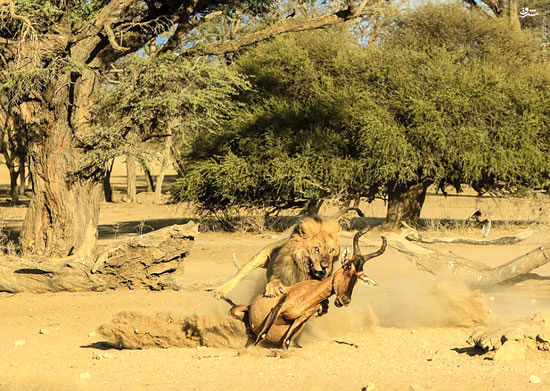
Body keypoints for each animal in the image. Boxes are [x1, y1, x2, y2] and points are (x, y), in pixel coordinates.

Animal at [229, 228, 388, 350]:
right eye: (348, 266)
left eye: (360, 276)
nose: (345, 300)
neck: (305, 295)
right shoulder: (278, 307)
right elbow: (262, 335)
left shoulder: (301, 320)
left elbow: (286, 343)